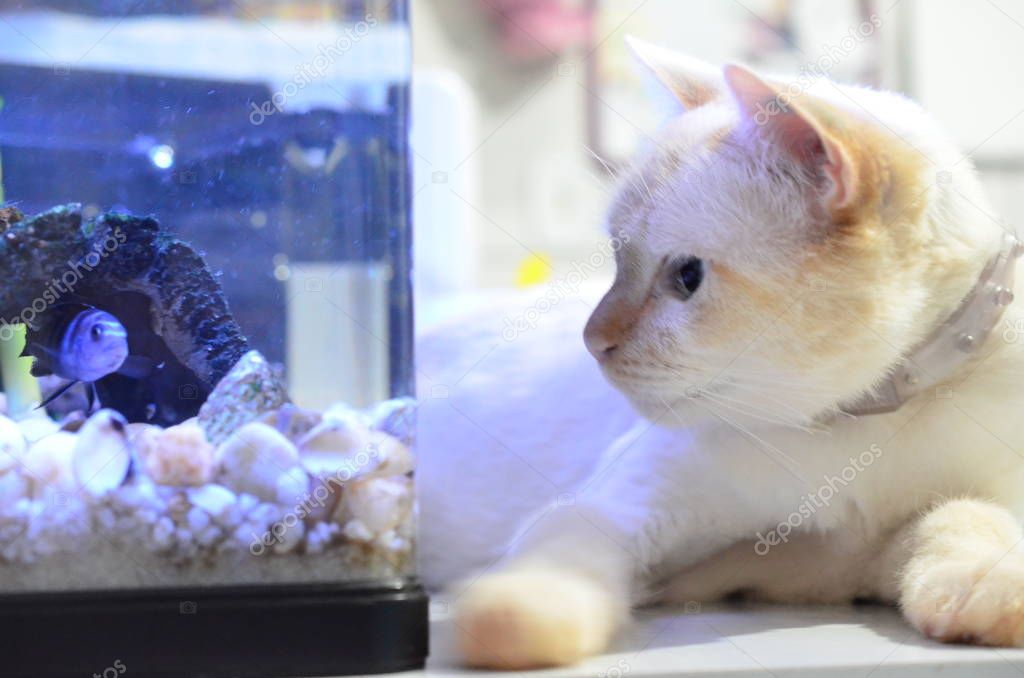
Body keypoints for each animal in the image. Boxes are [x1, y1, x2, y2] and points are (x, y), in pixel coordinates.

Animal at [413, 37, 1024, 667]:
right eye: (617, 259)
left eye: (687, 277)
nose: (593, 342)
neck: (858, 422)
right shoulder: (625, 509)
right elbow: (534, 593)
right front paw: (503, 625)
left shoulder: (881, 545)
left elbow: (960, 520)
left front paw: (989, 598)